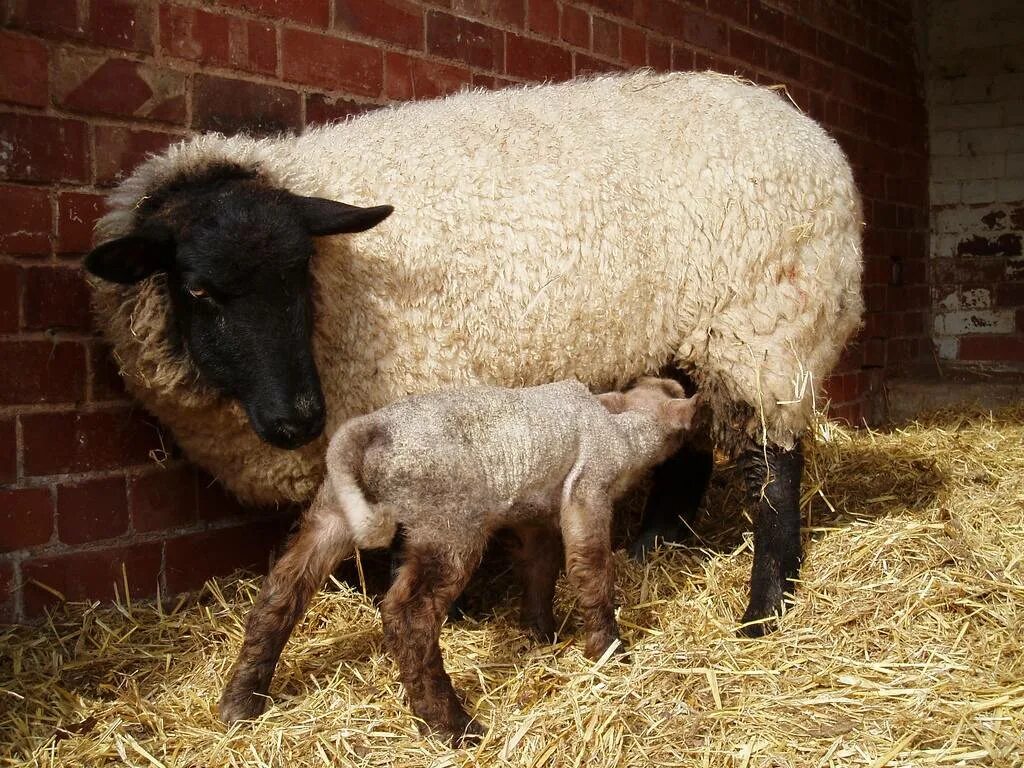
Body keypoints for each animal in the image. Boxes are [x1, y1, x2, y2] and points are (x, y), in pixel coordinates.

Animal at [86, 73, 864, 638]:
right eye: (196, 288)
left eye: (300, 270)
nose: (298, 419)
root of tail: (809, 129)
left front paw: (445, 609)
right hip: (688, 336)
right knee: (690, 437)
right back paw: (653, 547)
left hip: (765, 328)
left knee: (775, 468)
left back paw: (764, 609)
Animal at [219, 382, 700, 741]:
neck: (619, 421)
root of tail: (371, 429)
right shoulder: (588, 491)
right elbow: (591, 569)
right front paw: (609, 649)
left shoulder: (535, 517)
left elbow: (540, 571)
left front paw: (541, 634)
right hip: (449, 525)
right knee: (408, 617)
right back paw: (452, 727)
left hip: (332, 514)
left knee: (281, 591)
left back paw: (241, 704)